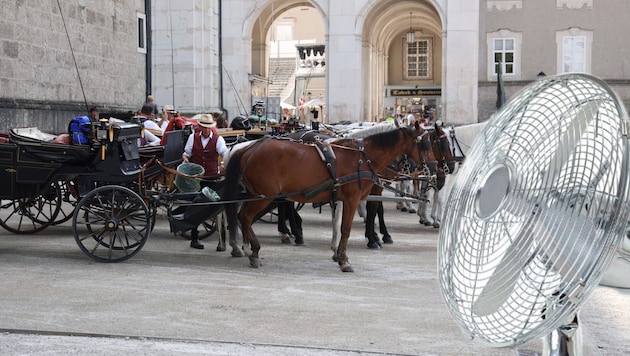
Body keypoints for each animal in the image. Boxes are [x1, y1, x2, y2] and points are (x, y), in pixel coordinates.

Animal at [225, 121, 428, 272]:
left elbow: (341, 226)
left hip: (254, 194)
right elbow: (346, 229)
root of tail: (249, 148)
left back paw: (249, 248)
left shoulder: (344, 199)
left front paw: (339, 254)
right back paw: (255, 250)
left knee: (242, 216)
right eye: (426, 143)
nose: (427, 168)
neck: (362, 157)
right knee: (246, 217)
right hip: (265, 196)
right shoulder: (352, 199)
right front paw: (344, 259)